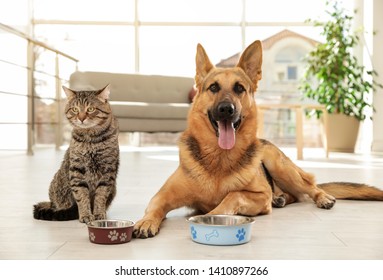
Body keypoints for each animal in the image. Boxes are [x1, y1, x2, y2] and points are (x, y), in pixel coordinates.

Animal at [33, 84, 120, 222]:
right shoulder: (77, 170)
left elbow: (101, 195)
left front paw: (99, 214)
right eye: (75, 109)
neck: (91, 139)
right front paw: (85, 215)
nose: (81, 118)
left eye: (90, 109)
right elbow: (81, 195)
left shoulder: (108, 171)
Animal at [134, 40, 383, 238]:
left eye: (239, 88)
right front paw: (145, 222)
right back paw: (281, 199)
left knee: (310, 188)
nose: (226, 109)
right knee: (294, 195)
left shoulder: (260, 195)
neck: (219, 159)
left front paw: (214, 214)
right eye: (213, 87)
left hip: (279, 165)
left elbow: (233, 195)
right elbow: (154, 207)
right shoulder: (162, 195)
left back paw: (322, 198)